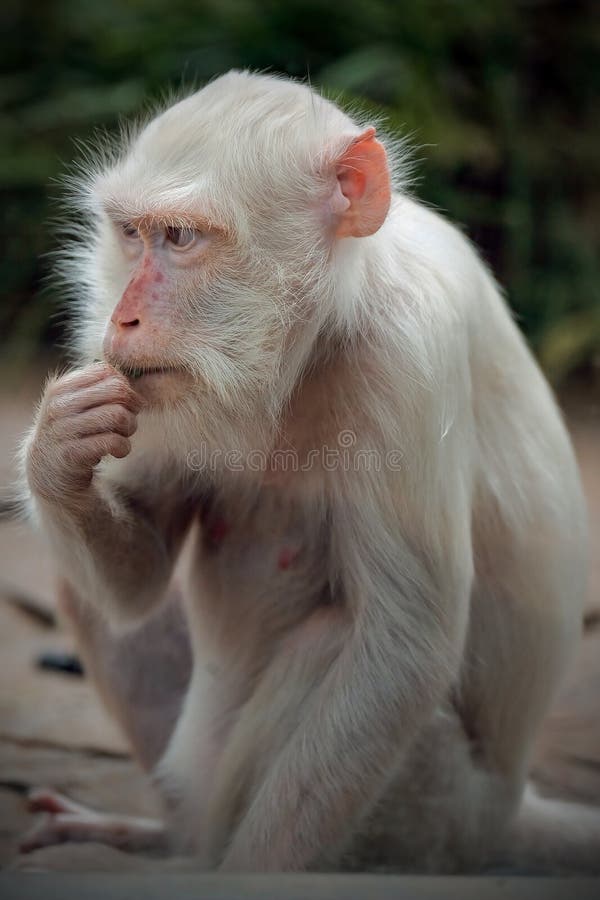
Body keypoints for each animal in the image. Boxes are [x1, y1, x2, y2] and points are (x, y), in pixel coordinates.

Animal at [18, 70, 596, 872]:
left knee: (336, 644)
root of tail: (508, 817)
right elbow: (139, 583)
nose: (122, 320)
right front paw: (58, 448)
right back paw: (171, 837)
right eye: (131, 235)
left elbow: (400, 652)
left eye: (181, 238)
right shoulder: (153, 389)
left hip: (428, 815)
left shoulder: (407, 356)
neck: (321, 327)